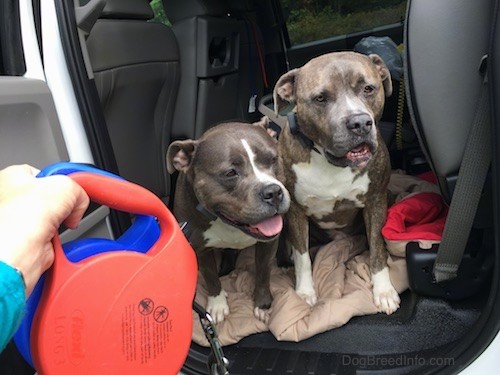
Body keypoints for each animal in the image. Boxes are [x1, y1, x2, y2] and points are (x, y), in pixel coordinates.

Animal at [166, 121, 292, 324]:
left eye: (273, 159)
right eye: (230, 173)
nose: (273, 192)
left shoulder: (267, 244)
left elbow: (263, 272)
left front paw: (263, 305)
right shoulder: (200, 248)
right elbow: (210, 276)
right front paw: (218, 304)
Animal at [276, 51, 400, 316]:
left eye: (368, 88)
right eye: (320, 98)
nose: (360, 123)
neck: (330, 161)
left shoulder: (376, 201)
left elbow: (377, 247)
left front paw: (383, 291)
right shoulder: (294, 211)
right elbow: (303, 257)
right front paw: (305, 293)